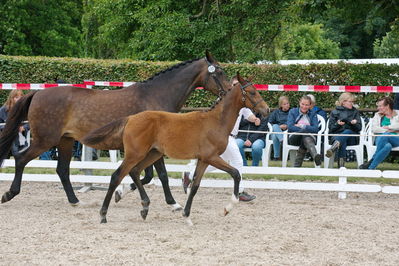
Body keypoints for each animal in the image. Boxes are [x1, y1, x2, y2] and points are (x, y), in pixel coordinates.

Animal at [0, 51, 231, 209]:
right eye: (220, 71)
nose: (229, 91)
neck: (156, 95)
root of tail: (37, 93)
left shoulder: (149, 148)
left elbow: (146, 176)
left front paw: (121, 193)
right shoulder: (156, 147)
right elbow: (161, 175)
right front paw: (173, 203)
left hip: (65, 140)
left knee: (62, 170)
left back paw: (76, 201)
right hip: (45, 140)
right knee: (21, 159)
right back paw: (10, 194)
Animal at [82, 73, 268, 224]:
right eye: (252, 92)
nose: (266, 109)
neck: (216, 121)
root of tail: (130, 118)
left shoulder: (203, 160)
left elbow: (195, 185)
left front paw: (186, 215)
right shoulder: (212, 157)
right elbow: (236, 173)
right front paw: (228, 208)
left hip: (153, 154)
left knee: (135, 172)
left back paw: (144, 208)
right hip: (135, 154)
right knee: (117, 176)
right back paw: (103, 214)